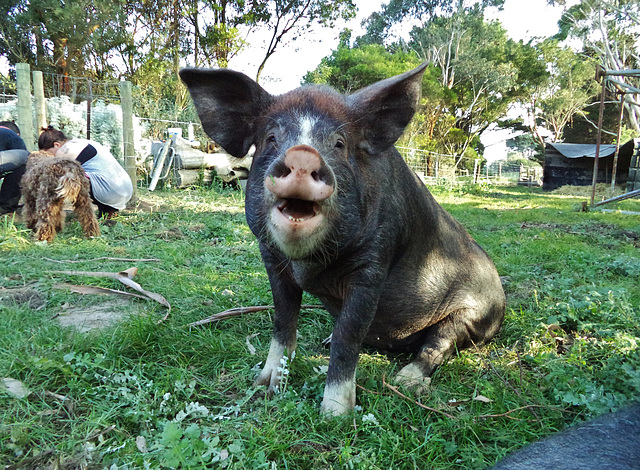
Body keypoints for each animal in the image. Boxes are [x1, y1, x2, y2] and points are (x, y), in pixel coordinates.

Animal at [179, 61, 504, 414]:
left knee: (438, 345)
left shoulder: (374, 265)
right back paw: (327, 342)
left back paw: (405, 382)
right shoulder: (272, 261)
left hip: (472, 315)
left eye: (339, 143)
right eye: (270, 138)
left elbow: (349, 337)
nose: (303, 154)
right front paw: (264, 387)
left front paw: (335, 414)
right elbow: (282, 322)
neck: (307, 265)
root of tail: (501, 296)